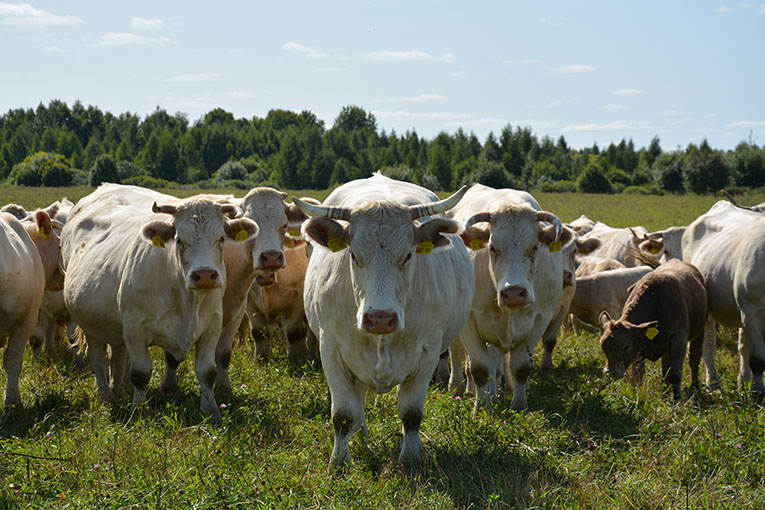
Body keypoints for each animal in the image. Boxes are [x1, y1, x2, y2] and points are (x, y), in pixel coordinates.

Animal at [61, 183, 258, 414]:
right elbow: (140, 374)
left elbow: (207, 372)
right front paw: (139, 410)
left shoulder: (212, 325)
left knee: (117, 355)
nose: (204, 275)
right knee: (97, 357)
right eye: (180, 240)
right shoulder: (134, 327)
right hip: (91, 323)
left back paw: (118, 390)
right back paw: (106, 397)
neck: (185, 299)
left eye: (221, 239)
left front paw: (211, 410)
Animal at [296, 174, 474, 470]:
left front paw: (411, 459)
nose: (380, 318)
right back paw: (361, 436)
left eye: (408, 256)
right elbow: (342, 414)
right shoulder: (330, 349)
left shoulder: (428, 351)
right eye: (354, 255)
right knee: (357, 401)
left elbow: (411, 413)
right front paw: (339, 462)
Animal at [450, 183, 572, 410]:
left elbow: (521, 367)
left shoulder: (541, 318)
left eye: (534, 247)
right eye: (492, 247)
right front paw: (482, 408)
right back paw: (461, 387)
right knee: (459, 352)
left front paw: (518, 406)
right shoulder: (469, 322)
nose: (514, 292)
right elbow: (480, 368)